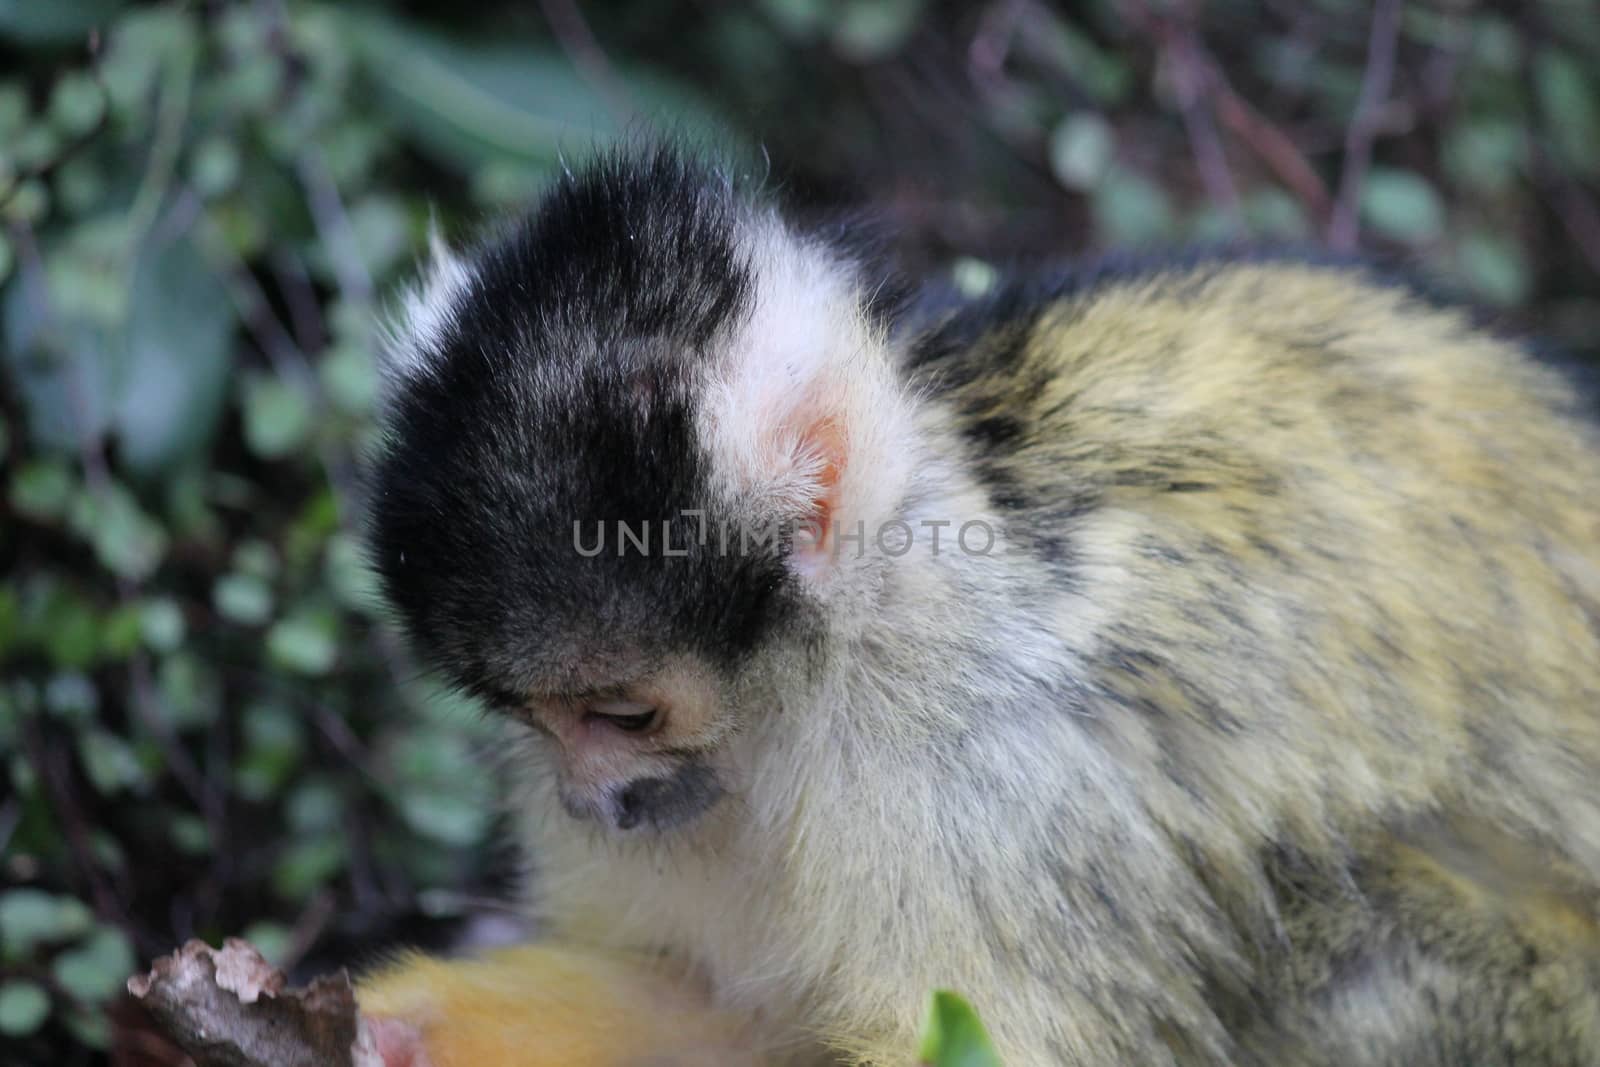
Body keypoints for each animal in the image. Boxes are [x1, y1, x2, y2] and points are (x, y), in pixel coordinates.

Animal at [360, 150, 1600, 1067]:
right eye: (537, 720)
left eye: (624, 714)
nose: (587, 800)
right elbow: (712, 1008)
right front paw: (386, 1025)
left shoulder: (985, 768)